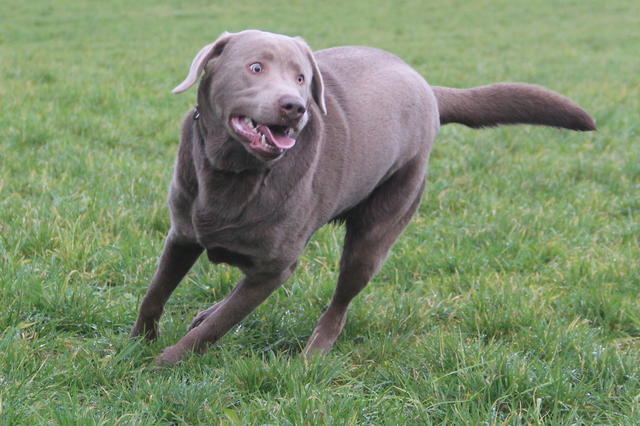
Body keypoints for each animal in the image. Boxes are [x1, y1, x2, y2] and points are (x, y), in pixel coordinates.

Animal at [129, 30, 596, 364]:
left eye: (301, 78)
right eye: (255, 67)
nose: (295, 106)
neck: (234, 171)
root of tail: (428, 88)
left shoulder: (275, 268)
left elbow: (219, 326)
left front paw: (165, 362)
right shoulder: (182, 234)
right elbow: (156, 292)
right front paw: (138, 344)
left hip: (377, 232)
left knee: (340, 302)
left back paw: (315, 353)